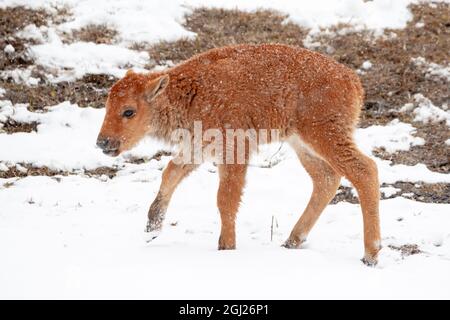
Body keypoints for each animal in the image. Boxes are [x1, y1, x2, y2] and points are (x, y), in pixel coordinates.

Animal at [96, 44, 382, 264]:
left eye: (129, 111)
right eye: (107, 105)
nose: (102, 142)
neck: (190, 93)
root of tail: (353, 81)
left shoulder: (233, 150)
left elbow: (226, 198)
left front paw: (226, 247)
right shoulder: (197, 147)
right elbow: (171, 173)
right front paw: (152, 227)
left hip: (324, 136)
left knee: (364, 170)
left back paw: (370, 254)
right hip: (301, 144)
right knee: (326, 179)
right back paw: (292, 240)